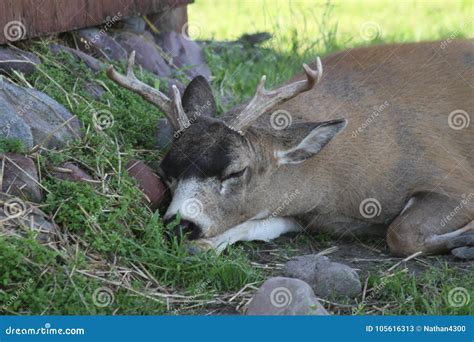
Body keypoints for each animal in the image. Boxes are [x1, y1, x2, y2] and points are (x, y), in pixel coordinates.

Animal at [107, 40, 474, 258]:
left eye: (236, 171)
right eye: (166, 172)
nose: (181, 224)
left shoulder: (451, 177)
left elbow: (401, 234)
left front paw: (466, 237)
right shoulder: (298, 211)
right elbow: (254, 226)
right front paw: (205, 244)